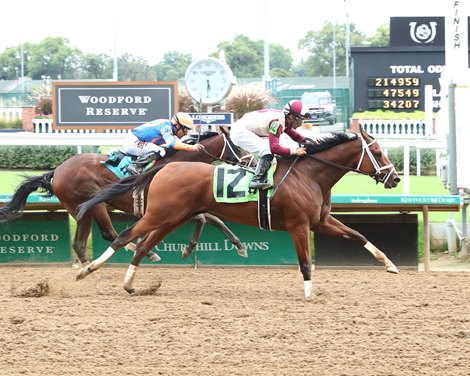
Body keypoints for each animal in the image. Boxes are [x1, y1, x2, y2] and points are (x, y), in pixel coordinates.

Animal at [0, 129, 250, 264]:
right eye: (238, 146)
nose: (251, 161)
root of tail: (57, 171)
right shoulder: (166, 206)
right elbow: (207, 218)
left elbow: (211, 218)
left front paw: (236, 245)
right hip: (94, 204)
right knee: (107, 233)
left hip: (83, 210)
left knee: (81, 242)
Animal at [77, 129, 400, 300]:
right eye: (378, 153)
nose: (395, 178)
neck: (309, 175)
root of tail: (165, 167)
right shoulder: (298, 224)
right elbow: (305, 263)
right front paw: (309, 294)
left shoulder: (319, 221)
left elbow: (357, 235)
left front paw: (389, 264)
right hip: (159, 214)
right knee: (124, 237)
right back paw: (86, 270)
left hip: (173, 217)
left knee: (143, 246)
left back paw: (131, 285)